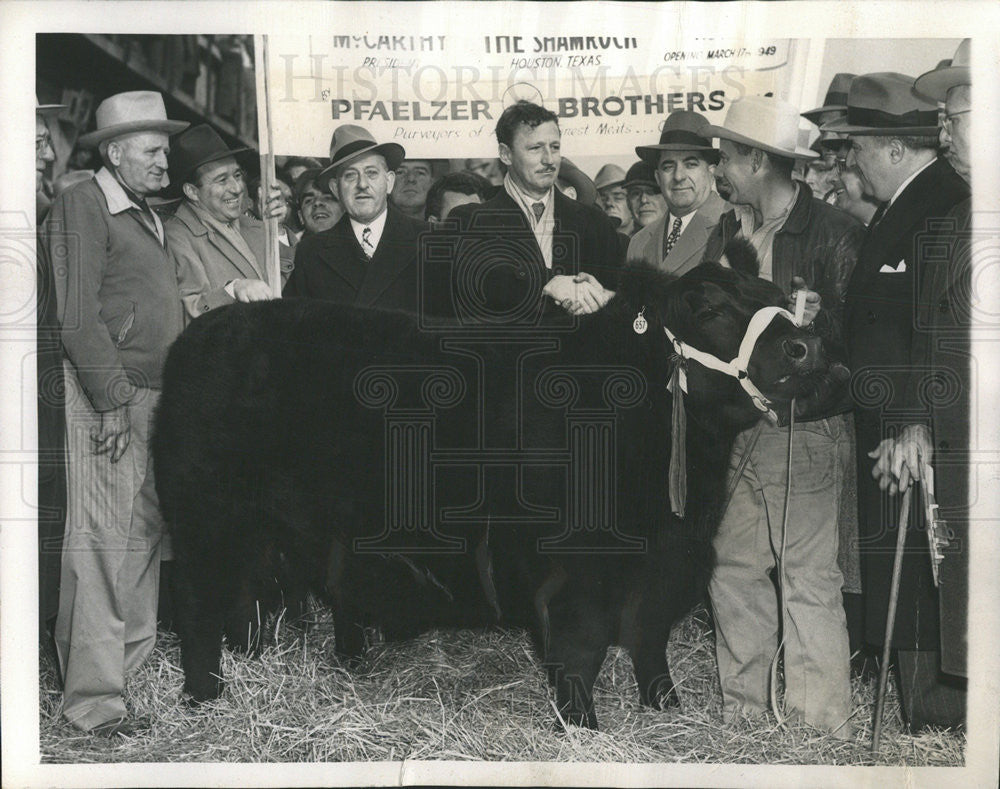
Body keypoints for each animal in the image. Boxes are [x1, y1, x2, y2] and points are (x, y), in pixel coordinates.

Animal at [152, 249, 848, 728]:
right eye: (709, 310)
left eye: (779, 297)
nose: (807, 347)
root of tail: (202, 333)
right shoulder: (578, 574)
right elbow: (581, 648)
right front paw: (584, 725)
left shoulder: (668, 563)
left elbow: (650, 640)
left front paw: (666, 707)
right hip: (204, 520)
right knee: (197, 603)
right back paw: (205, 692)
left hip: (261, 530)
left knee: (245, 596)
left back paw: (251, 662)